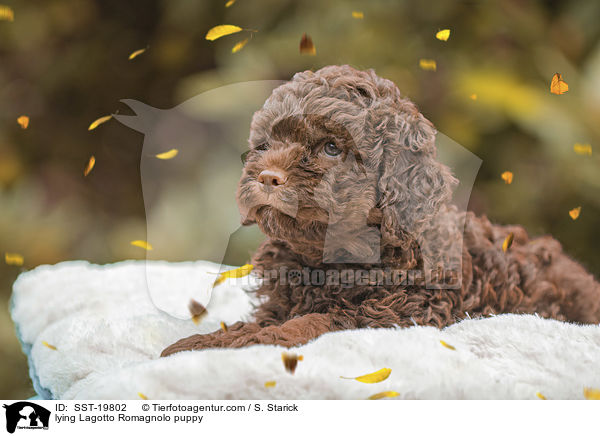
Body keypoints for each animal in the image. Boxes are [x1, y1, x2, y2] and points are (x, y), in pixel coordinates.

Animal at [159, 65, 600, 358]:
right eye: (265, 145)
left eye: (331, 148)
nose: (267, 177)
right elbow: (262, 321)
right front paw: (206, 341)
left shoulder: (400, 310)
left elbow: (312, 322)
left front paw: (237, 342)